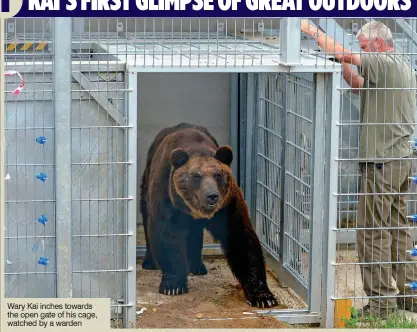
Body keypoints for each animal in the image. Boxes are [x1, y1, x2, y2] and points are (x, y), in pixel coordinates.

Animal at [141, 122, 280, 308]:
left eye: (218, 174)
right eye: (195, 176)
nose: (212, 196)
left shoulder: (228, 205)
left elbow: (241, 240)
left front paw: (263, 296)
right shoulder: (168, 198)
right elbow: (167, 235)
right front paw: (173, 284)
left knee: (195, 234)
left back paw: (197, 265)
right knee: (147, 217)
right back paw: (149, 262)